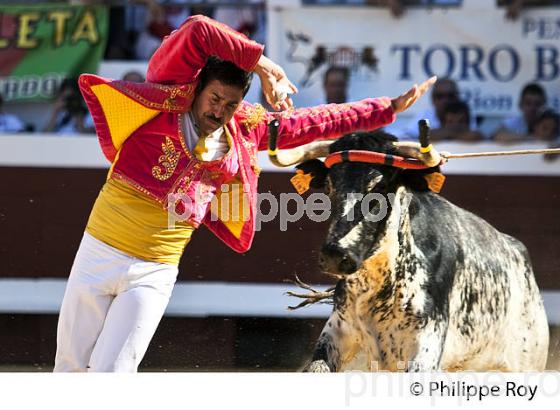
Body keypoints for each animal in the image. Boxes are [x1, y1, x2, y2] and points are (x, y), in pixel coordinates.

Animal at [270, 127, 548, 372]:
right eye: (329, 186)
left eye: (380, 187)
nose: (335, 255)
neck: (378, 281)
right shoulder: (337, 331)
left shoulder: (426, 344)